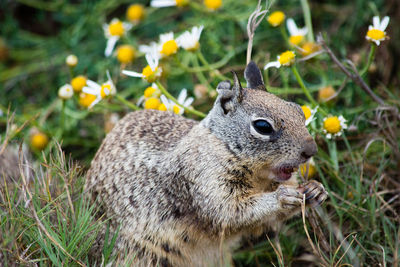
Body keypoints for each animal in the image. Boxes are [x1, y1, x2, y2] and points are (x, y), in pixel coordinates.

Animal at [85, 61, 328, 266]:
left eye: (298, 110)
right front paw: (282, 197)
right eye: (263, 126)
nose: (311, 150)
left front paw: (315, 190)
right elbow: (230, 212)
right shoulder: (207, 183)